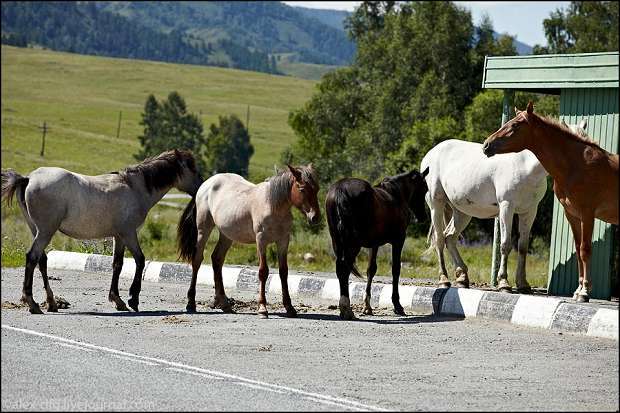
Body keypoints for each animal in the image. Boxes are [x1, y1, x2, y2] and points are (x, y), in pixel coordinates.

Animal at [1, 150, 202, 314]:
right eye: (192, 168)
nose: (200, 188)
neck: (134, 187)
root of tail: (28, 179)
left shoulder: (118, 237)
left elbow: (117, 264)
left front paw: (117, 300)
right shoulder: (129, 234)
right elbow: (140, 260)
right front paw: (133, 299)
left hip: (37, 230)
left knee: (41, 261)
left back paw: (51, 303)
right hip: (45, 232)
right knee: (32, 257)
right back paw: (32, 303)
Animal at [422, 120, 588, 292]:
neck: (526, 167)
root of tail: (431, 153)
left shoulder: (529, 211)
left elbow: (522, 247)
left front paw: (523, 284)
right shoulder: (506, 208)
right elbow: (505, 244)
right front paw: (504, 283)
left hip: (462, 212)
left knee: (450, 238)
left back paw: (462, 278)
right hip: (437, 203)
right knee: (440, 239)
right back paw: (444, 280)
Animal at [484, 102, 620, 302]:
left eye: (515, 125)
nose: (486, 145)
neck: (576, 165)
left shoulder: (587, 213)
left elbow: (585, 250)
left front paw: (585, 292)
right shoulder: (572, 214)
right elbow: (578, 250)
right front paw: (578, 290)